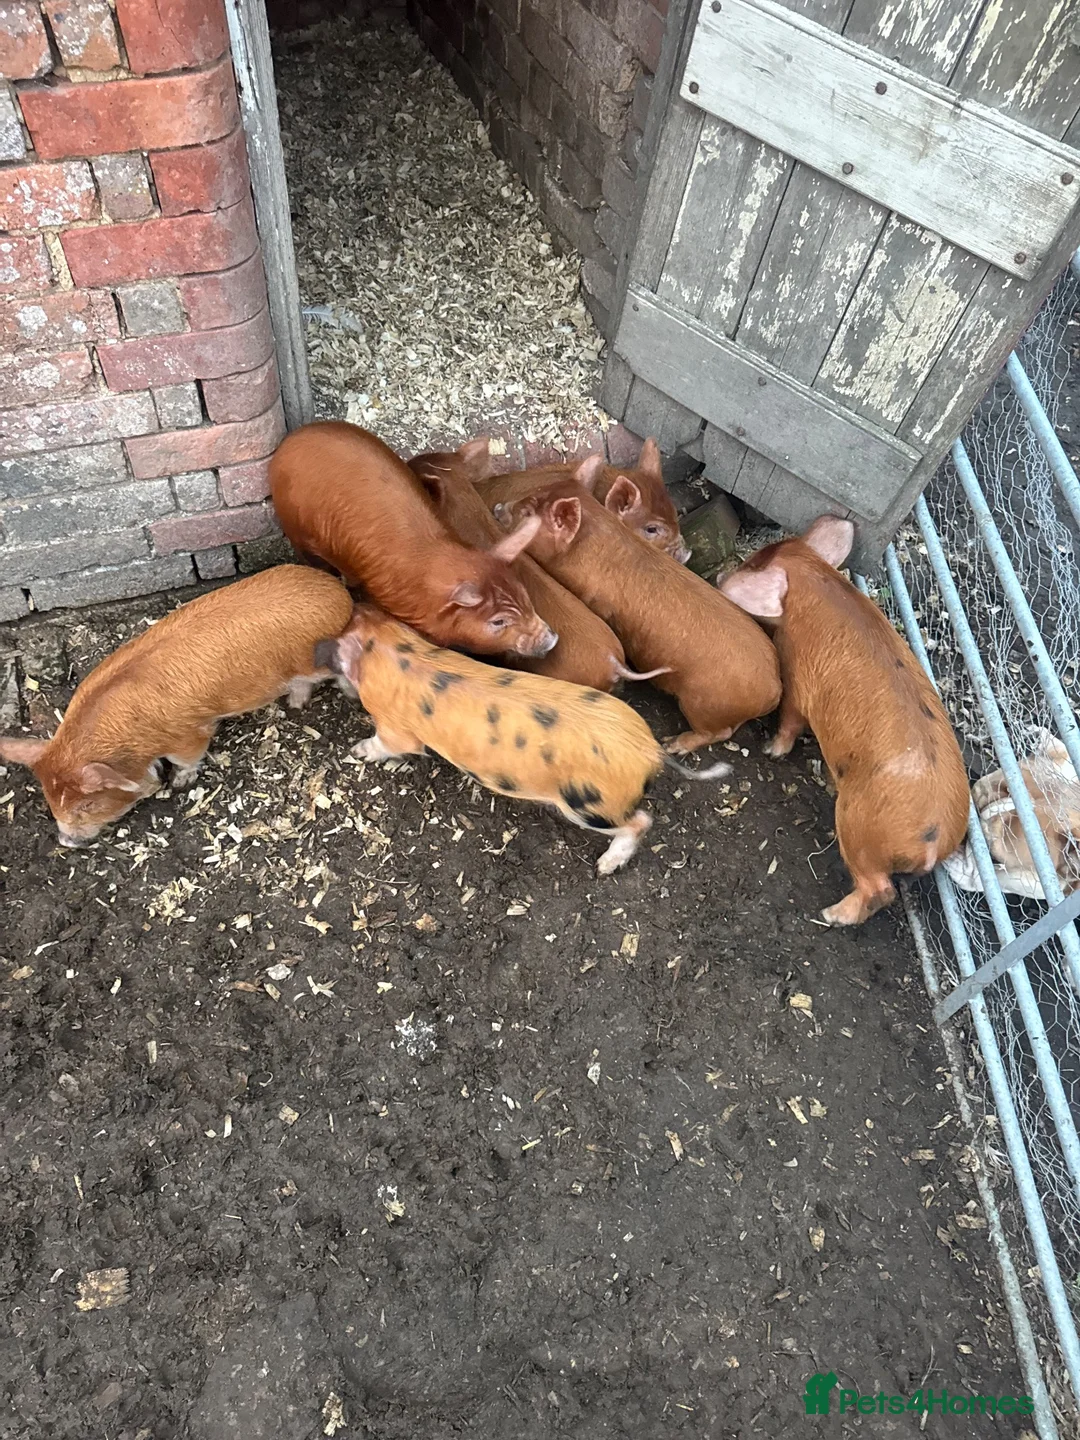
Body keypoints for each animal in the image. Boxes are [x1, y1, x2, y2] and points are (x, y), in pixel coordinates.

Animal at [0, 566, 353, 848]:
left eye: (84, 806)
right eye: (51, 802)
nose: (65, 842)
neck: (129, 742)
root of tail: (340, 595)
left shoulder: (188, 734)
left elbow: (187, 758)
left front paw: (180, 783)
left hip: (312, 660)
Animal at [317, 605, 731, 874]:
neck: (390, 649)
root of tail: (648, 748)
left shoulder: (396, 729)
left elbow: (390, 744)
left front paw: (359, 750)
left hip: (590, 803)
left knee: (641, 821)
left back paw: (604, 867)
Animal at [492, 474, 781, 755]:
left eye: (528, 513)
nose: (497, 507)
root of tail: (775, 690)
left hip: (702, 705)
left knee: (718, 733)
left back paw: (671, 745)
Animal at [719, 516, 969, 926]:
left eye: (751, 565)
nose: (723, 573)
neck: (813, 580)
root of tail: (936, 837)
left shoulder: (797, 681)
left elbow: (790, 721)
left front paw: (771, 750)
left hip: (857, 825)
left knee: (880, 890)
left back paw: (831, 914)